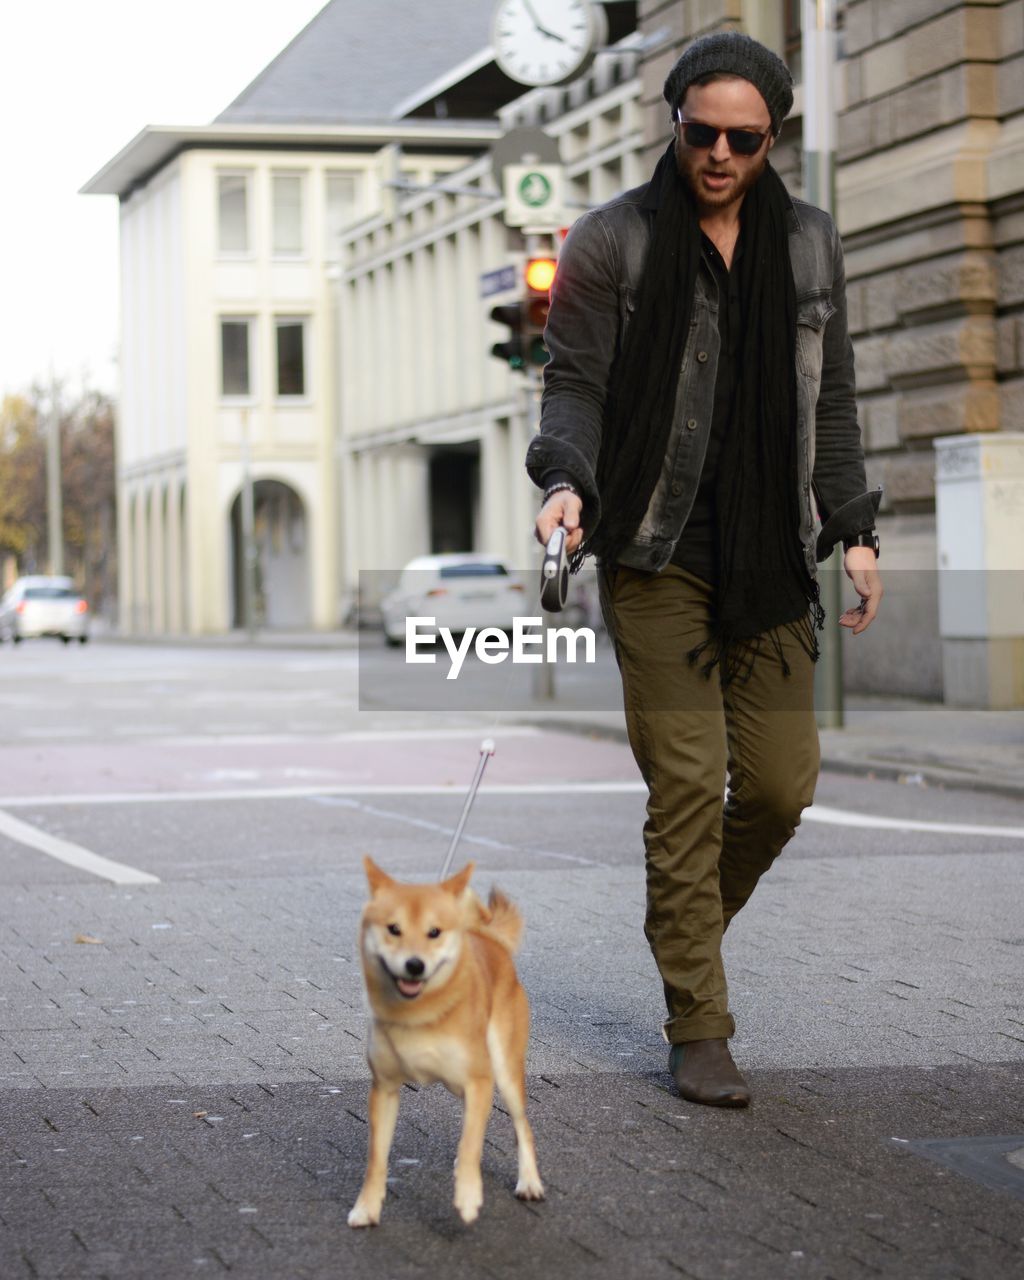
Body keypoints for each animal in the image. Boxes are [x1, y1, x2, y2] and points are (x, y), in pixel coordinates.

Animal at [348, 855, 542, 1223]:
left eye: (434, 932)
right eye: (393, 929)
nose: (414, 965)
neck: (418, 1016)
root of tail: (488, 939)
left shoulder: (479, 1080)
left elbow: (469, 1145)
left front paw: (467, 1196)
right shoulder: (384, 1089)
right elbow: (375, 1158)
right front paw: (366, 1208)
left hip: (503, 1072)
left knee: (520, 1126)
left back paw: (529, 1182)